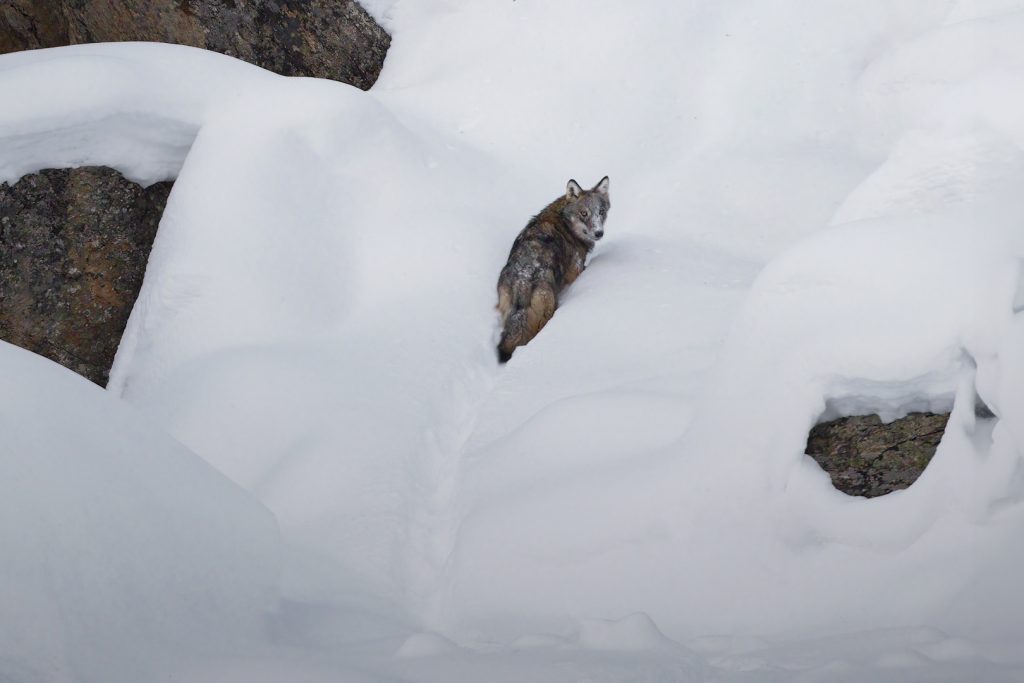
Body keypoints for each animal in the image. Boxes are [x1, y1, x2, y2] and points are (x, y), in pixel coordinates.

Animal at [496, 176, 610, 362]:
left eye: (601, 212)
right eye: (584, 213)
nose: (599, 233)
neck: (566, 223)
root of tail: (522, 280)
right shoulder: (576, 271)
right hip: (546, 311)